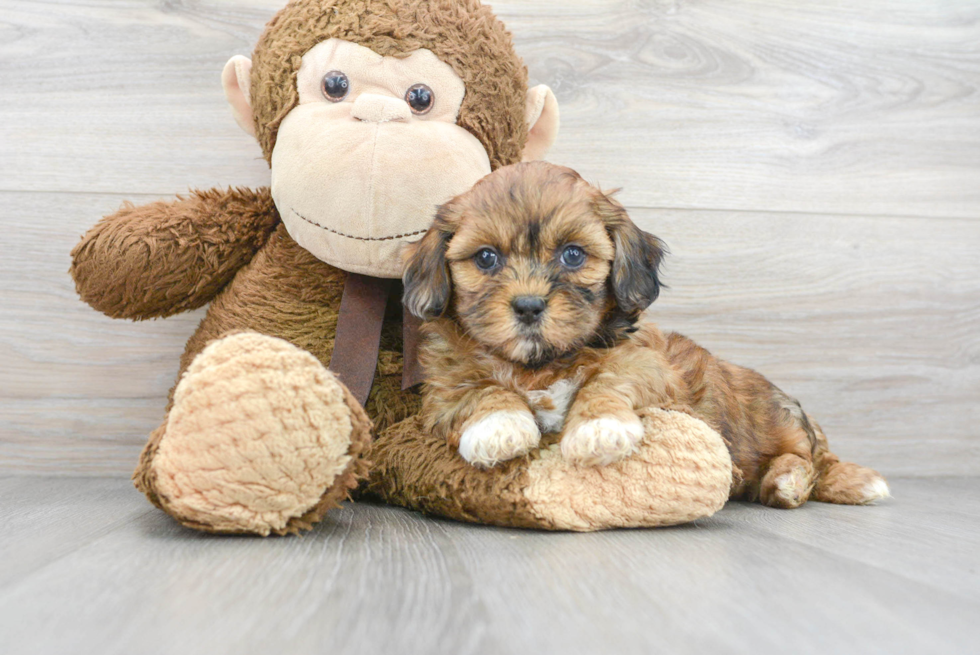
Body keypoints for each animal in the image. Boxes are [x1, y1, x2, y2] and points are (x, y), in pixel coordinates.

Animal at [402, 161, 892, 510]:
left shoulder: (650, 366)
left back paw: (790, 479)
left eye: (573, 255)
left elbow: (610, 378)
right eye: (485, 258)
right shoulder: (443, 388)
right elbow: (477, 390)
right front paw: (499, 426)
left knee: (811, 463)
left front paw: (599, 427)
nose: (528, 305)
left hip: (779, 425)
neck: (541, 364)